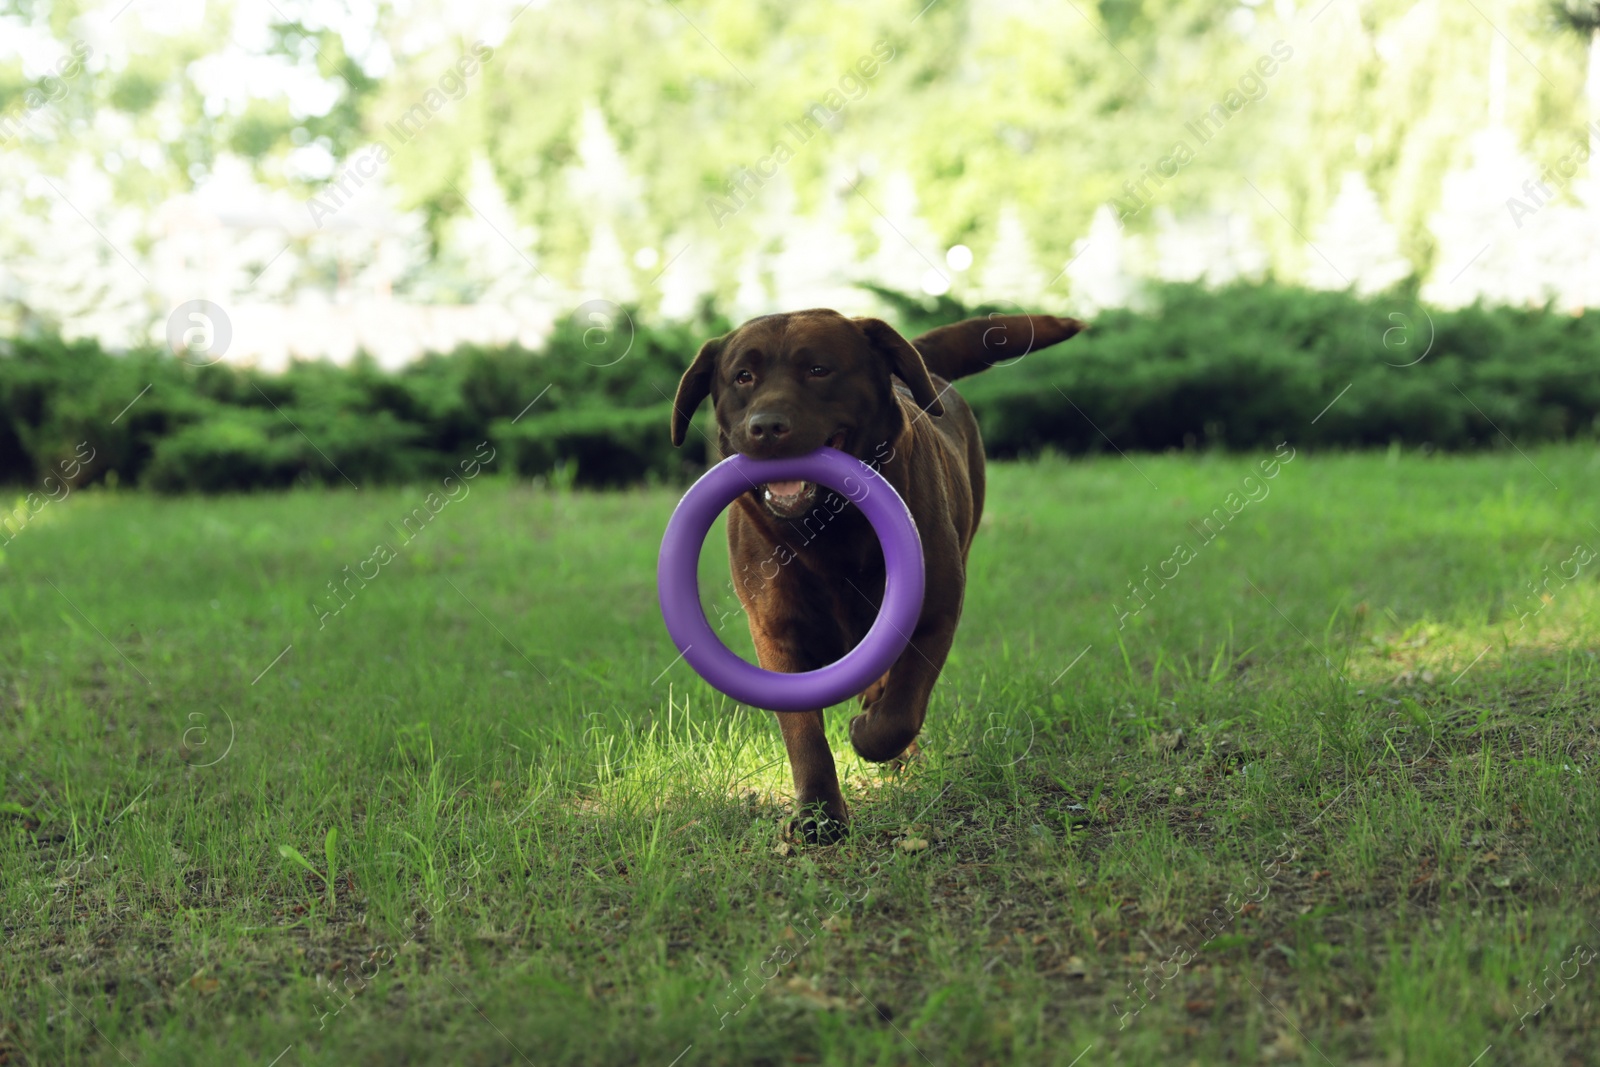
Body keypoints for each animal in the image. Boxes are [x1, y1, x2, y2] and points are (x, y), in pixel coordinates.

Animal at [668, 308, 1081, 844]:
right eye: (743, 377)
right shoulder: (777, 635)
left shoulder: (934, 611)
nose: (766, 427)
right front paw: (818, 815)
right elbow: (803, 732)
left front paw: (868, 732)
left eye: (818, 370)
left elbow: (901, 708)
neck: (829, 529)